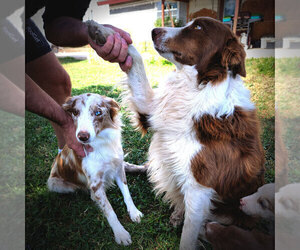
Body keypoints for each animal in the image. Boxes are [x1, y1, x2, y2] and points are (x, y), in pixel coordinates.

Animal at [47, 93, 143, 246]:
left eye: (98, 113)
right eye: (75, 112)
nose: (82, 137)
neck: (102, 142)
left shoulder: (118, 169)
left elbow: (127, 194)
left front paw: (134, 212)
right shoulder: (95, 184)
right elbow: (109, 211)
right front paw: (120, 233)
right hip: (55, 184)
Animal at [86, 17, 264, 248]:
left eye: (198, 27)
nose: (154, 31)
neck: (198, 86)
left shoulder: (199, 189)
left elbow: (188, 236)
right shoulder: (149, 108)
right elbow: (135, 57)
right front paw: (103, 32)